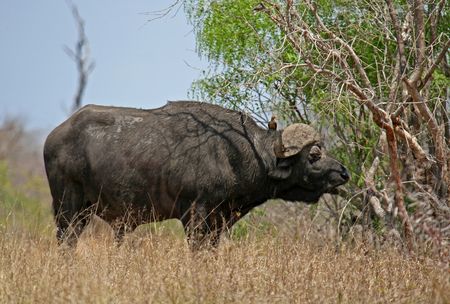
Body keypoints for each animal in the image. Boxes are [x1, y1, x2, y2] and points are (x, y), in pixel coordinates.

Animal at [44, 101, 350, 248]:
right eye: (314, 155)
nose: (344, 173)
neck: (235, 154)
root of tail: (53, 137)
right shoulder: (196, 215)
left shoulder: (218, 222)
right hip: (68, 210)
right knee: (66, 242)